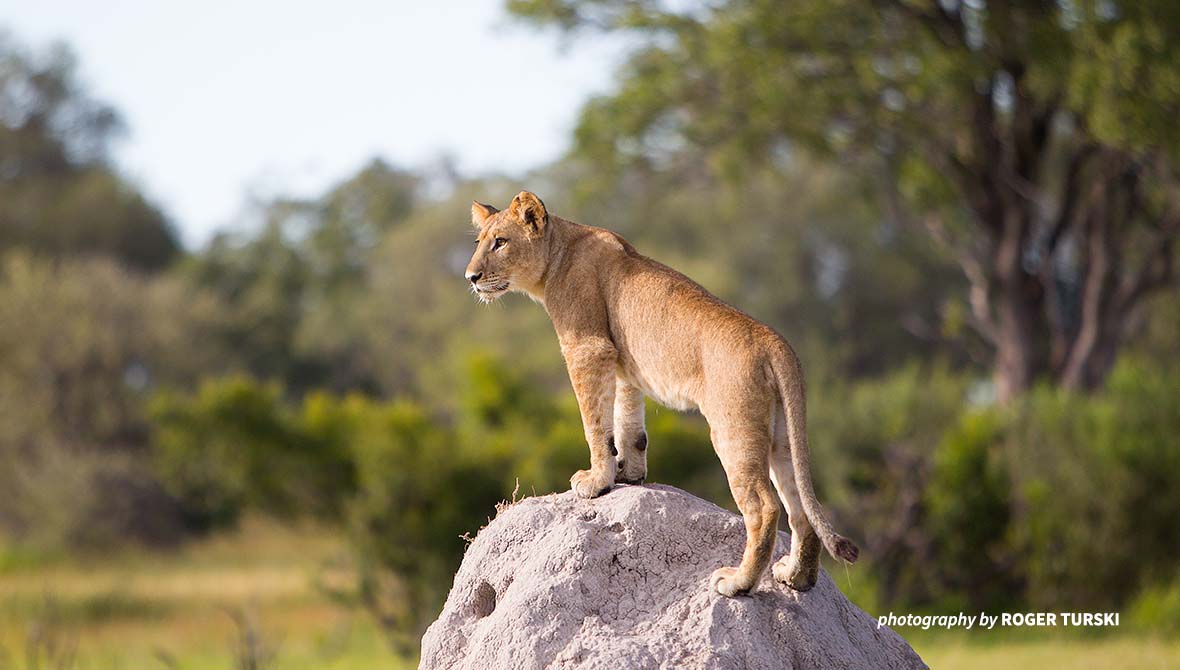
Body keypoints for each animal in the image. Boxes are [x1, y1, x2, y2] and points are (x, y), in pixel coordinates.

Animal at [462, 191, 859, 594]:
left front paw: (596, 481)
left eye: (501, 242)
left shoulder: (587, 349)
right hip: (782, 435)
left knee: (765, 508)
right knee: (800, 506)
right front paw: (629, 474)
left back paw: (738, 583)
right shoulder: (623, 365)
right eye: (479, 242)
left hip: (733, 430)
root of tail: (774, 341)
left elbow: (595, 423)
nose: (471, 277)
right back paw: (796, 577)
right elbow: (627, 424)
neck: (557, 251)